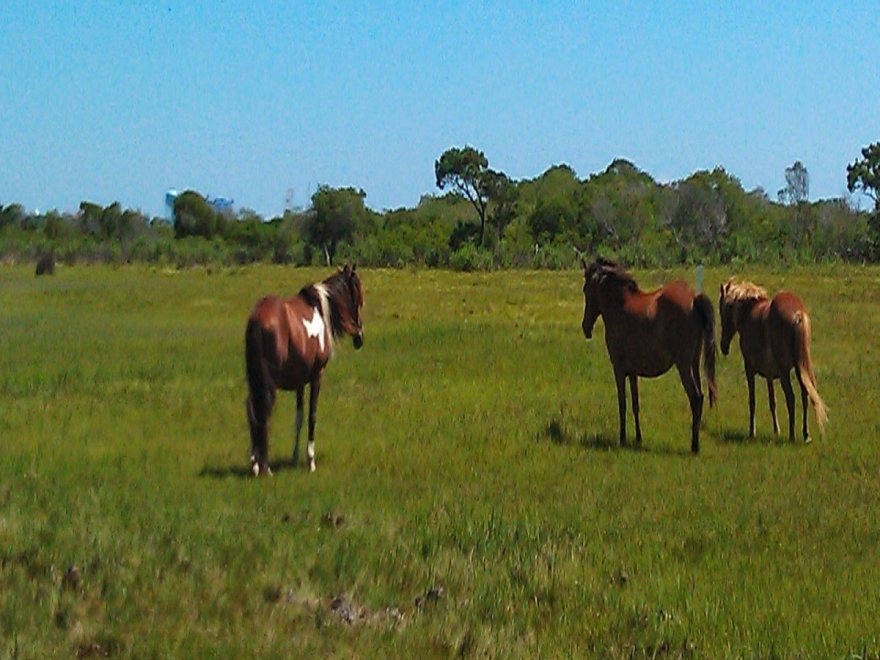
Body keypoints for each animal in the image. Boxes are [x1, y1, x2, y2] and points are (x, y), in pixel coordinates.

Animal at [242, 262, 362, 474]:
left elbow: (298, 417)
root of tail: (257, 318)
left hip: (255, 379)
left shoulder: (299, 381)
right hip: (268, 381)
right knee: (264, 410)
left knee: (252, 409)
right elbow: (312, 416)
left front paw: (294, 457)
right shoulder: (316, 376)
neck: (321, 310)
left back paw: (255, 464)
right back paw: (265, 466)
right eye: (357, 296)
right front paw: (310, 461)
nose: (359, 338)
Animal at [580, 260, 720, 454]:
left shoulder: (618, 369)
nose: (585, 327)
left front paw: (622, 438)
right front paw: (638, 438)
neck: (620, 307)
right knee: (700, 397)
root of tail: (694, 298)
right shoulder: (632, 372)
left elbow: (622, 404)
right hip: (694, 363)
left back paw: (694, 446)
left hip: (683, 365)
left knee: (696, 397)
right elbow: (635, 404)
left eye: (586, 289)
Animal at [720, 278, 828, 444]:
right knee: (805, 395)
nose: (723, 347)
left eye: (722, 310)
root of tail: (798, 314)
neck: (749, 312)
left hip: (785, 372)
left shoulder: (749, 369)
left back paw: (791, 436)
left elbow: (752, 401)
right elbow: (772, 402)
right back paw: (806, 434)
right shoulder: (769, 375)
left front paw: (752, 432)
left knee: (791, 398)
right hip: (800, 367)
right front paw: (776, 430)